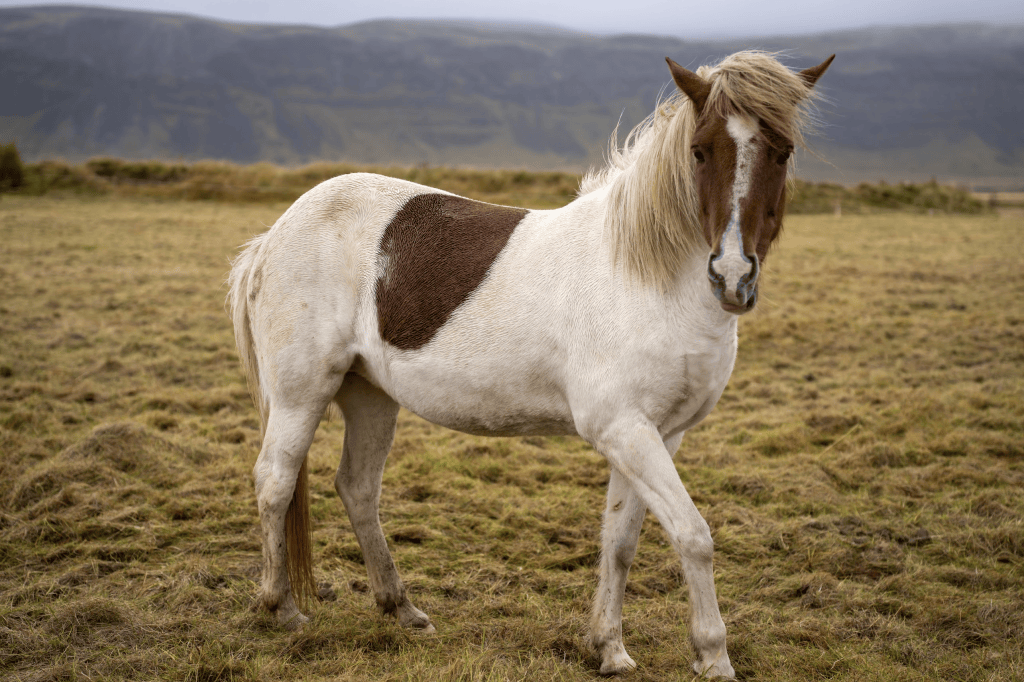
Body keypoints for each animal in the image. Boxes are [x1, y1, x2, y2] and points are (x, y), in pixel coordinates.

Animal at [227, 50, 833, 678]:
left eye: (782, 151)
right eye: (700, 151)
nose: (733, 277)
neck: (645, 278)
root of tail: (273, 235)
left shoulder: (659, 434)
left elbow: (621, 540)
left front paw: (609, 648)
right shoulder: (623, 429)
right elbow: (693, 535)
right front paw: (713, 656)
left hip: (370, 395)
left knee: (357, 487)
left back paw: (402, 609)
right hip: (302, 393)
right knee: (275, 481)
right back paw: (282, 608)